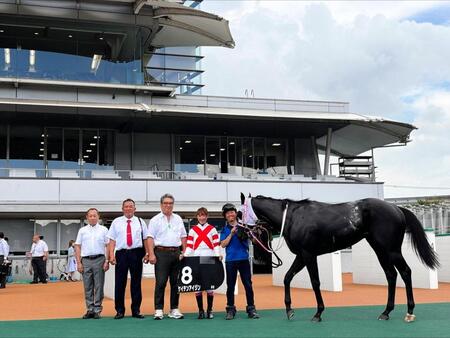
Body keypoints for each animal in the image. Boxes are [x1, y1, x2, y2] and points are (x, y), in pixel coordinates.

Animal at [241, 193, 438, 322]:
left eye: (240, 212)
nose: (241, 234)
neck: (292, 217)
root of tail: (397, 208)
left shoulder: (308, 255)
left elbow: (315, 282)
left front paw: (318, 313)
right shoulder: (301, 256)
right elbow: (287, 278)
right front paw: (289, 310)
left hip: (392, 250)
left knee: (405, 272)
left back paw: (410, 312)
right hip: (380, 250)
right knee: (391, 275)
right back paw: (386, 312)